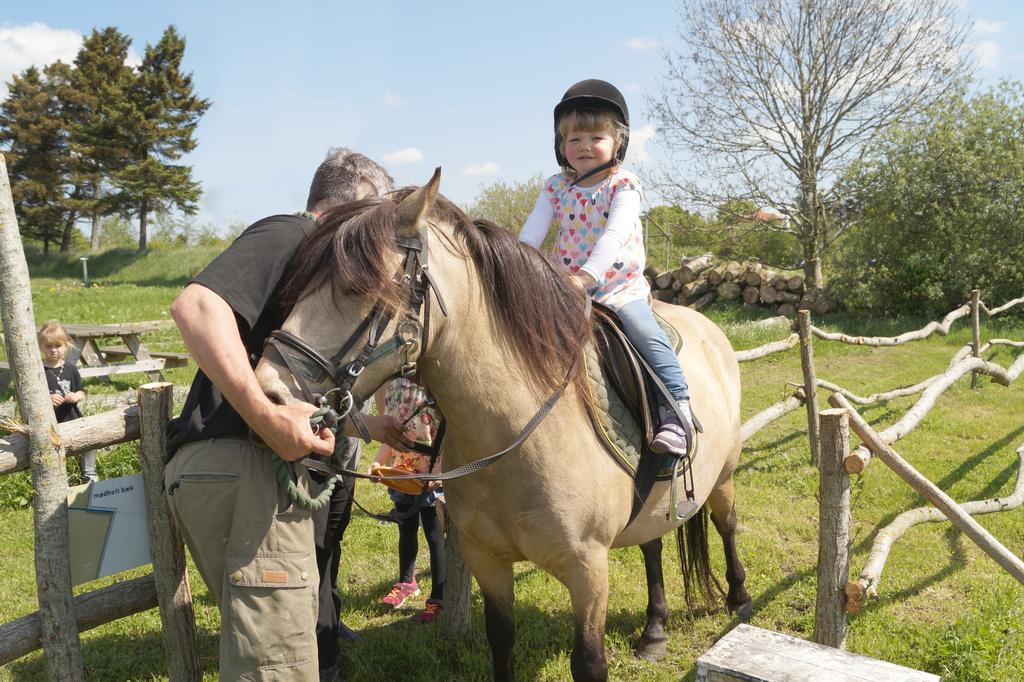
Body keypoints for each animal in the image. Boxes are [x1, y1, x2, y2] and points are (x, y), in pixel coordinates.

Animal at [256, 171, 753, 679]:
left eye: (356, 288)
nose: (270, 394)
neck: (517, 438)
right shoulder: (487, 559)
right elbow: (501, 641)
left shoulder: (588, 569)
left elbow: (589, 662)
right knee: (652, 545)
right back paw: (654, 630)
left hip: (724, 474)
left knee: (727, 524)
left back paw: (739, 599)